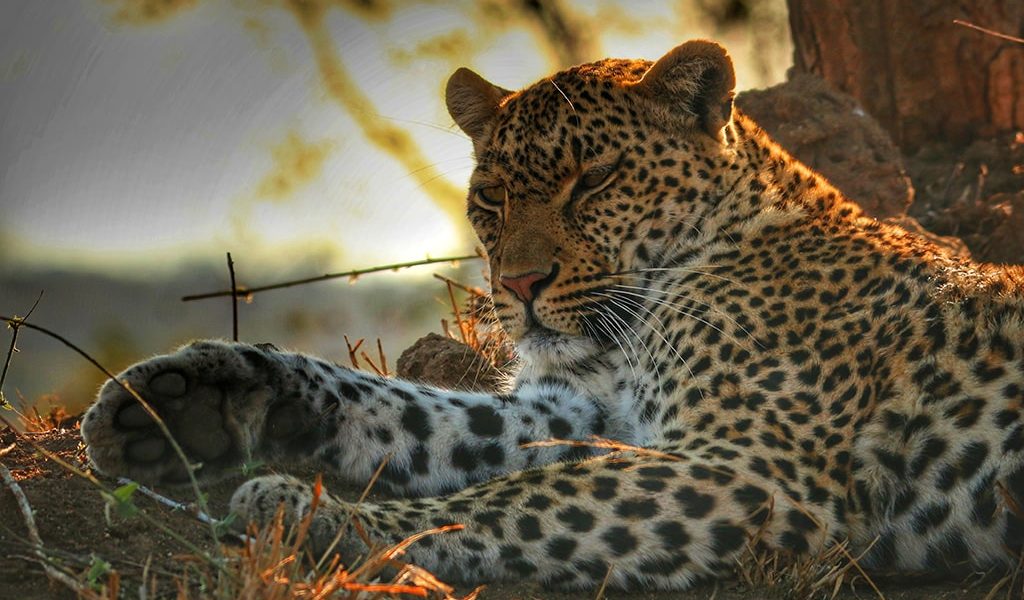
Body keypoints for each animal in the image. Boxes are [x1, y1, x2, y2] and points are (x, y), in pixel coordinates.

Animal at [77, 40, 1024, 589]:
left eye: (595, 180)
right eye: (491, 197)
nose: (523, 283)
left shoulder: (753, 469)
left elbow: (518, 501)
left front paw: (317, 515)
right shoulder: (570, 410)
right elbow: (411, 413)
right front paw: (196, 398)